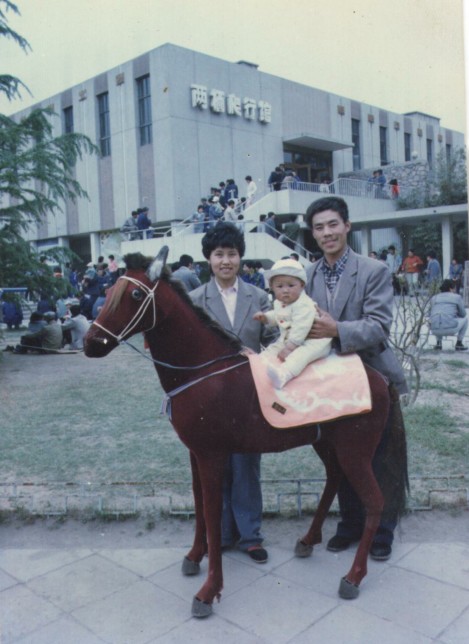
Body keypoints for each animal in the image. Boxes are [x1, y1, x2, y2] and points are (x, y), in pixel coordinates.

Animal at [84, 248, 407, 618]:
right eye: (109, 291)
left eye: (136, 295)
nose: (91, 343)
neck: (204, 372)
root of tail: (380, 379)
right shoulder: (195, 453)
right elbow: (198, 503)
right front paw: (194, 556)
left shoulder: (212, 455)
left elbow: (212, 512)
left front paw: (208, 591)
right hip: (326, 443)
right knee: (335, 479)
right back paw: (309, 540)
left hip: (356, 450)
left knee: (375, 500)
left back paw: (353, 577)